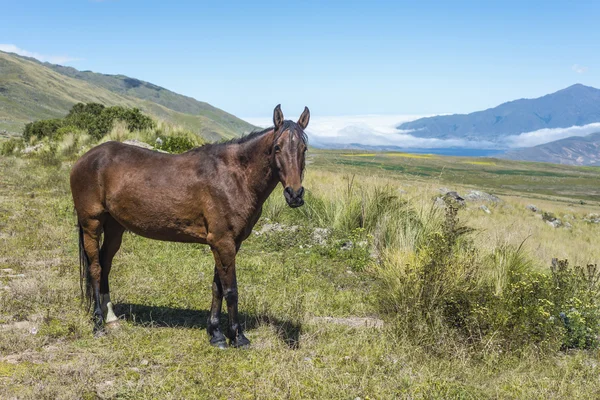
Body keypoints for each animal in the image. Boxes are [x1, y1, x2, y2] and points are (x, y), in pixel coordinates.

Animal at [70, 105, 310, 346]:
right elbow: (231, 290)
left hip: (114, 228)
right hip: (92, 225)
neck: (234, 177)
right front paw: (237, 336)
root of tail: (85, 159)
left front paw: (216, 333)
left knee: (105, 264)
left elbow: (217, 287)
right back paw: (98, 324)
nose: (295, 194)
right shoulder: (223, 242)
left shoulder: (228, 243)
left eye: (304, 148)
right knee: (95, 268)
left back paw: (111, 319)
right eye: (277, 147)